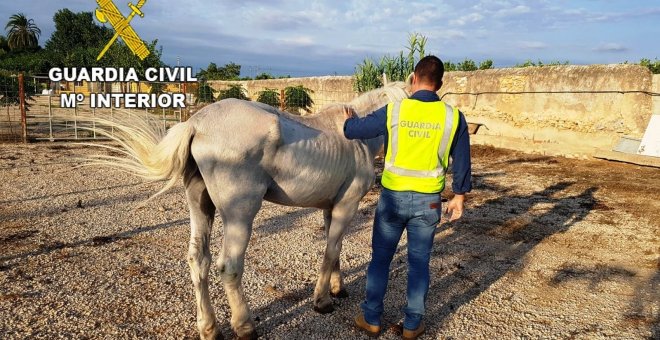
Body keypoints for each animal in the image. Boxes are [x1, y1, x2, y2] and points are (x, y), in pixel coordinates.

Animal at [86, 83, 408, 340]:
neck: (356, 139)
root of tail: (197, 123)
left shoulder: (331, 209)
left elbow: (336, 249)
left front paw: (337, 289)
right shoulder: (346, 207)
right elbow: (330, 253)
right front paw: (323, 301)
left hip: (200, 207)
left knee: (198, 261)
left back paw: (209, 329)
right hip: (240, 217)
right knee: (229, 267)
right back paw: (244, 326)